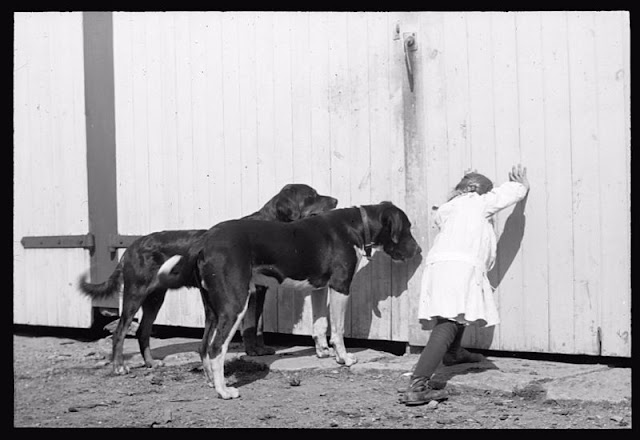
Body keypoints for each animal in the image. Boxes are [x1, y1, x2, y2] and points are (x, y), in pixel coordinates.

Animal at [78, 184, 337, 374]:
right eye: (312, 195)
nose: (335, 201)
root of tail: (131, 246)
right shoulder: (254, 290)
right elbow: (252, 325)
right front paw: (254, 351)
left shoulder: (258, 290)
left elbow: (256, 325)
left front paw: (259, 349)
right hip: (136, 293)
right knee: (120, 331)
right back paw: (119, 366)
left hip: (155, 297)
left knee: (142, 331)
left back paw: (151, 363)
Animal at [157, 202, 421, 399]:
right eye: (407, 227)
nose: (418, 251)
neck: (356, 225)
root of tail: (204, 241)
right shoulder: (340, 286)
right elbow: (337, 330)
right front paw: (343, 358)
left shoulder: (319, 288)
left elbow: (319, 325)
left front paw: (322, 352)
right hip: (234, 305)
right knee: (215, 348)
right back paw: (224, 391)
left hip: (213, 309)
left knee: (203, 346)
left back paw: (212, 383)